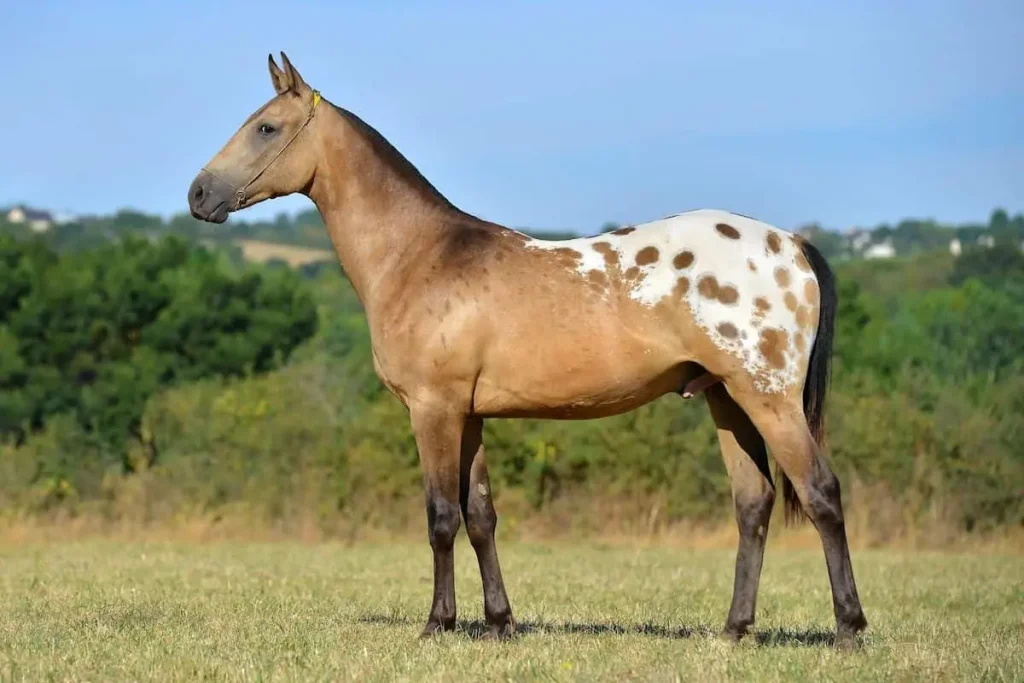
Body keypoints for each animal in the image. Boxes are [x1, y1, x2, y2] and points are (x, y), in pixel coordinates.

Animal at [188, 52, 868, 647]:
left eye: (266, 127)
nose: (198, 195)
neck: (420, 255)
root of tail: (792, 244)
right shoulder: (470, 415)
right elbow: (481, 515)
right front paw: (499, 624)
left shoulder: (433, 409)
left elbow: (441, 516)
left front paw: (438, 625)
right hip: (725, 399)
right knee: (754, 503)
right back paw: (733, 631)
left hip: (769, 398)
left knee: (822, 494)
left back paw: (848, 631)